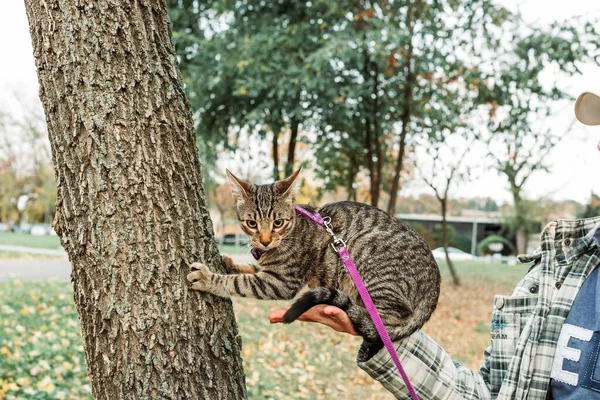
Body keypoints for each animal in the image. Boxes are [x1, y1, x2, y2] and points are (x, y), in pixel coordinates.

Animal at [188, 170, 440, 342]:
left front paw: (209, 279)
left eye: (278, 222)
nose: (265, 240)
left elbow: (241, 282)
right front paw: (228, 261)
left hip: (366, 254)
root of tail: (434, 286)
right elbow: (249, 270)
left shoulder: (282, 281)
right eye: (252, 224)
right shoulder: (267, 269)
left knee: (385, 322)